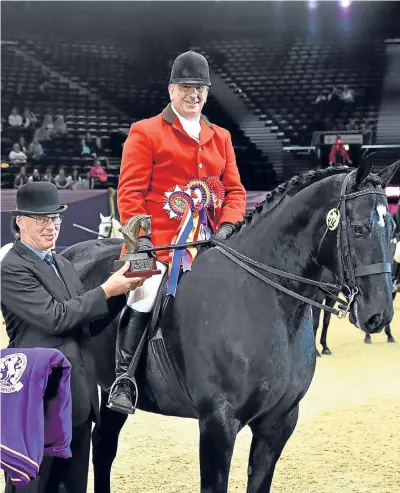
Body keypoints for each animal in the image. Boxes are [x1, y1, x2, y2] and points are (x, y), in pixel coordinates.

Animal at [62, 161, 396, 492]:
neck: (263, 301)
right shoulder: (218, 423)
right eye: (359, 228)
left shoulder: (278, 424)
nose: (379, 314)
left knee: (103, 446)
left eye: (392, 229)